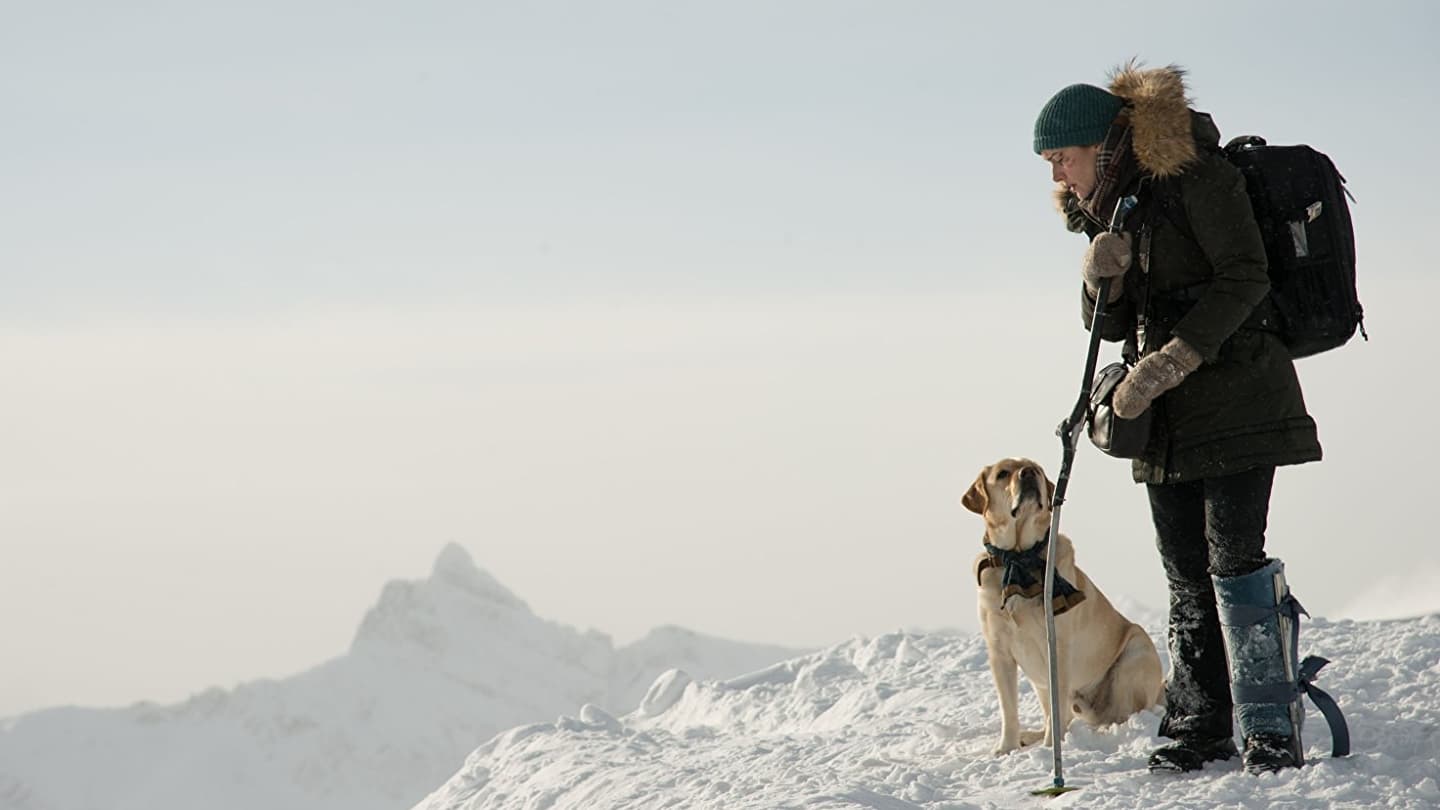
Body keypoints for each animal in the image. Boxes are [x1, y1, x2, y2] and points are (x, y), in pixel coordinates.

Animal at [961, 455, 1163, 749]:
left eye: (1036, 468)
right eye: (1002, 474)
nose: (1029, 473)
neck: (1018, 558)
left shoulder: (1057, 645)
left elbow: (1057, 710)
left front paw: (1049, 748)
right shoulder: (999, 652)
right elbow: (1009, 710)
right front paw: (1007, 748)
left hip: (1135, 653)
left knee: (1123, 712)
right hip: (1041, 682)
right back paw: (1030, 736)